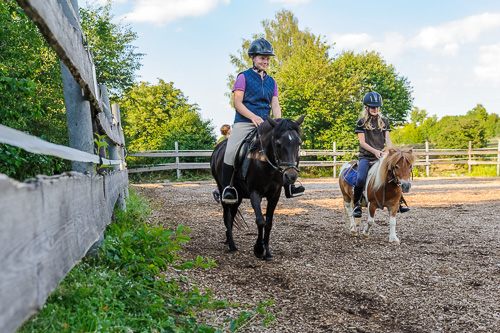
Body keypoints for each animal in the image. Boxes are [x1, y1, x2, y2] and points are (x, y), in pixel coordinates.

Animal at [210, 115, 304, 260]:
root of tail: (218, 148)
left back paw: (228, 239)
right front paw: (259, 249)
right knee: (227, 215)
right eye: (278, 144)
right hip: (222, 189)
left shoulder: (274, 195)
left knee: (232, 214)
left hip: (238, 196)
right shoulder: (255, 192)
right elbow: (260, 220)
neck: (265, 162)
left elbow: (269, 222)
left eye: (298, 143)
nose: (291, 176)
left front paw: (268, 252)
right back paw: (231, 245)